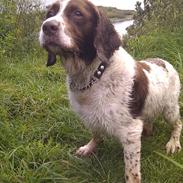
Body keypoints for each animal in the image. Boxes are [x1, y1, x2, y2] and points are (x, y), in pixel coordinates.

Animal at [39, 0, 182, 182]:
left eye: (78, 13)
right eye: (50, 13)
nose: (47, 26)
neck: (95, 74)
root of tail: (165, 62)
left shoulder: (130, 132)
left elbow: (131, 171)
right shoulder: (91, 116)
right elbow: (96, 133)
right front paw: (90, 147)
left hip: (170, 109)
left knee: (178, 124)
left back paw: (173, 142)